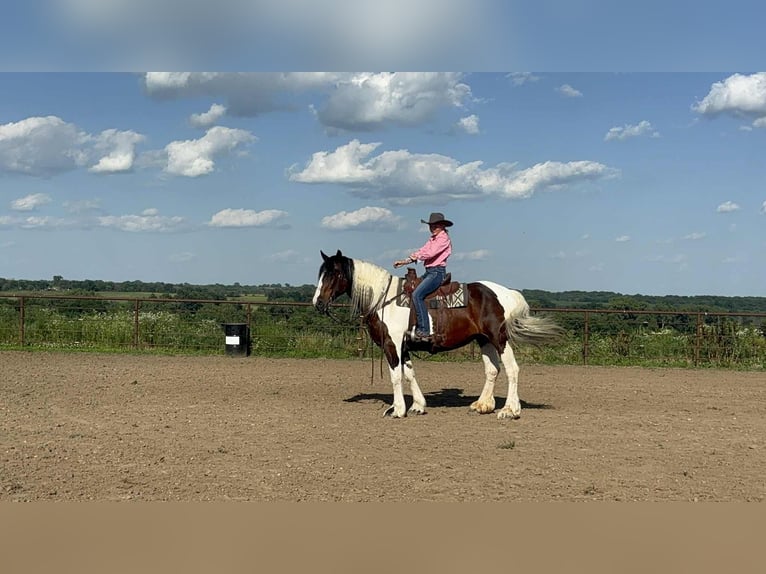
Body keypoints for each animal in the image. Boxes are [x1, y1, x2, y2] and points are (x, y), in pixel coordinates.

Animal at [313, 250, 563, 420]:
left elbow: (396, 376)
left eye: (334, 274)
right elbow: (409, 374)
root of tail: (507, 293)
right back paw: (482, 405)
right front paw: (418, 406)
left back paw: (509, 410)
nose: (318, 303)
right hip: (484, 340)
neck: (384, 298)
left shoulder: (392, 344)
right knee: (492, 370)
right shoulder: (405, 346)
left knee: (512, 369)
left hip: (499, 338)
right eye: (321, 274)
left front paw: (397, 409)